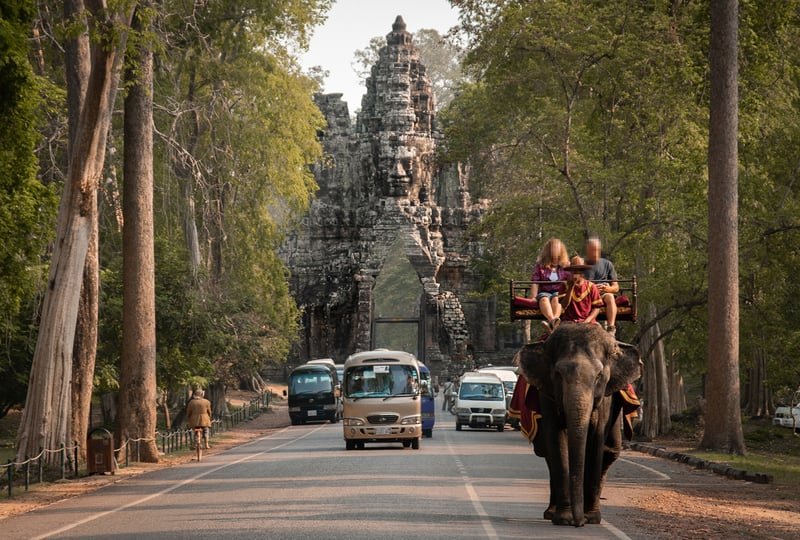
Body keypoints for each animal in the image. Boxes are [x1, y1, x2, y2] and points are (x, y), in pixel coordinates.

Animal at [516, 320, 640, 528]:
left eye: (599, 376)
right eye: (558, 374)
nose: (578, 523)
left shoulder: (605, 398)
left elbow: (596, 442)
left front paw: (592, 518)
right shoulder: (548, 395)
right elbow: (557, 441)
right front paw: (564, 519)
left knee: (610, 451)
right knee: (546, 452)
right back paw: (551, 513)